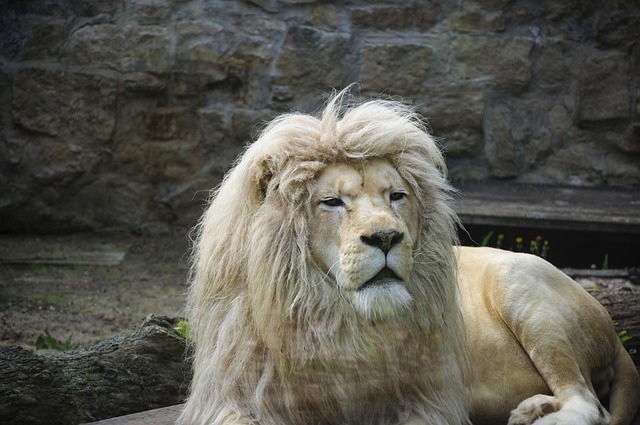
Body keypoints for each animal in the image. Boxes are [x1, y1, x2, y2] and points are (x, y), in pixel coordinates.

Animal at [178, 91, 640, 425]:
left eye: (396, 196)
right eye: (331, 202)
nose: (386, 237)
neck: (334, 321)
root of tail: (614, 331)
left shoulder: (428, 400)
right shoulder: (230, 398)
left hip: (523, 288)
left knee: (589, 403)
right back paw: (532, 409)